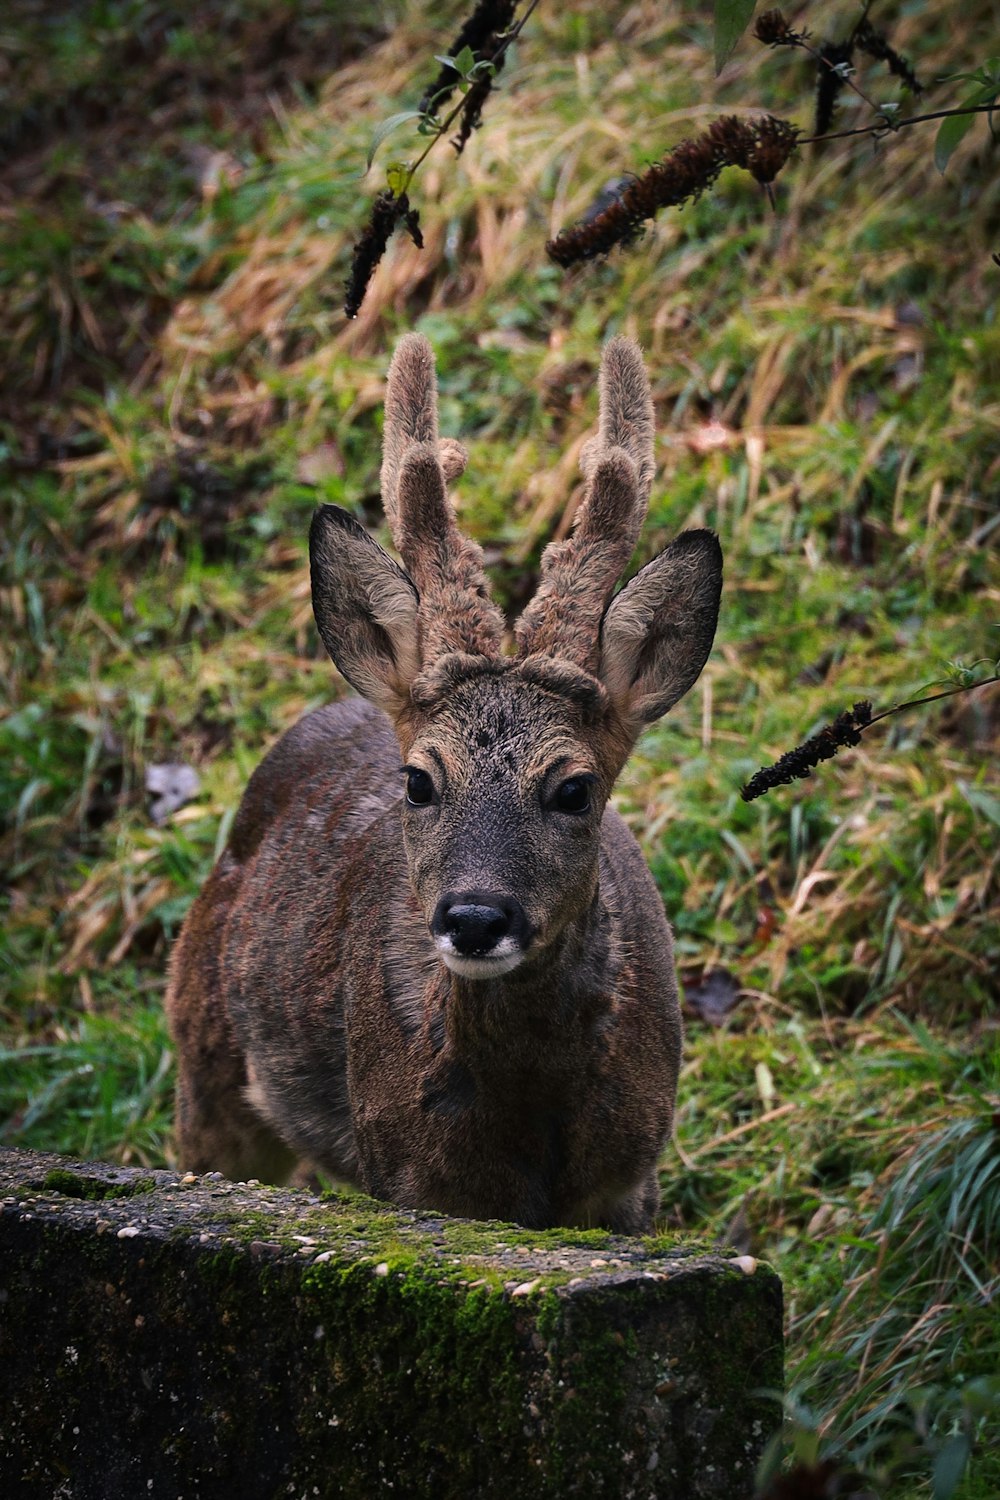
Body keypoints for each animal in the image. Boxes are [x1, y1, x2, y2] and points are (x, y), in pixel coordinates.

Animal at [167, 337, 722, 1230]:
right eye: (419, 781)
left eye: (575, 789)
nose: (475, 918)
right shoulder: (412, 1180)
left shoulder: (633, 1180)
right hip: (204, 1056)